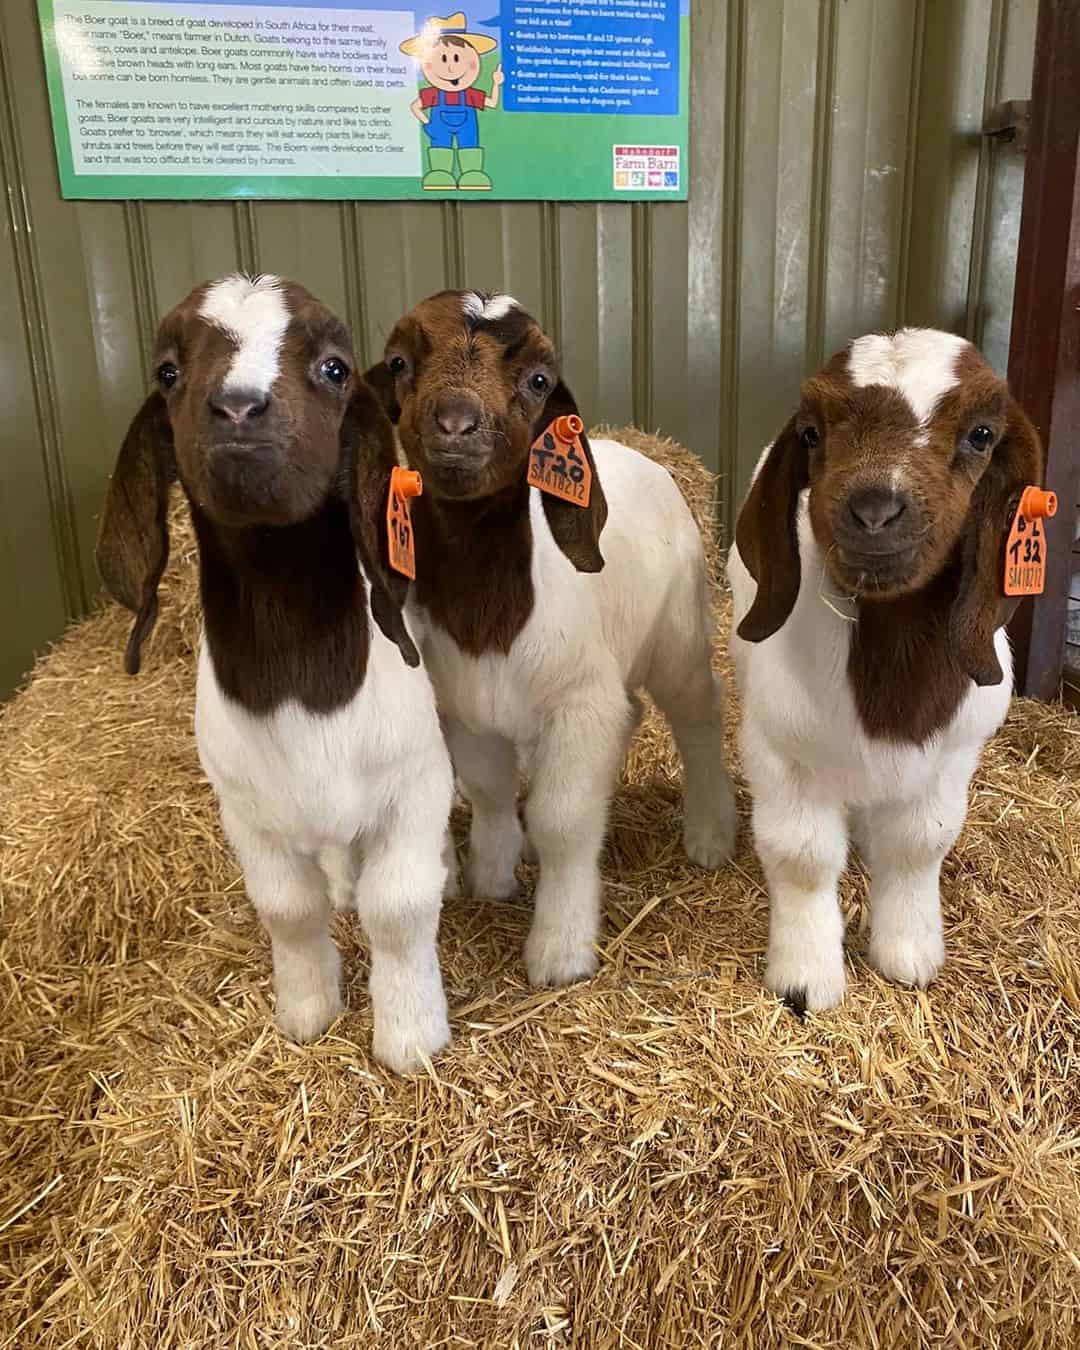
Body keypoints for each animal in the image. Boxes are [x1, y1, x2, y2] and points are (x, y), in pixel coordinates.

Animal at [95, 276, 459, 1074]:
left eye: (332, 367)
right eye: (168, 371)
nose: (237, 407)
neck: (302, 688)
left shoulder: (414, 785)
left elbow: (400, 906)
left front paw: (411, 1035)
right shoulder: (248, 814)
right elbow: (288, 910)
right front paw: (307, 1010)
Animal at [361, 290, 734, 988]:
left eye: (538, 379)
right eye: (398, 363)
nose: (456, 422)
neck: (490, 616)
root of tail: (646, 454)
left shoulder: (578, 703)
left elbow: (563, 819)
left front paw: (561, 950)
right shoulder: (467, 709)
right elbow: (489, 790)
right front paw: (493, 871)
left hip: (678, 634)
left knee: (698, 709)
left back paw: (710, 832)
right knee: (632, 712)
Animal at [729, 329, 1042, 1015]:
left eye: (982, 433)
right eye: (812, 433)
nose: (874, 509)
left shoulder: (951, 759)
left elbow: (919, 844)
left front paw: (909, 955)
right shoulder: (780, 752)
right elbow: (802, 856)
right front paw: (804, 978)